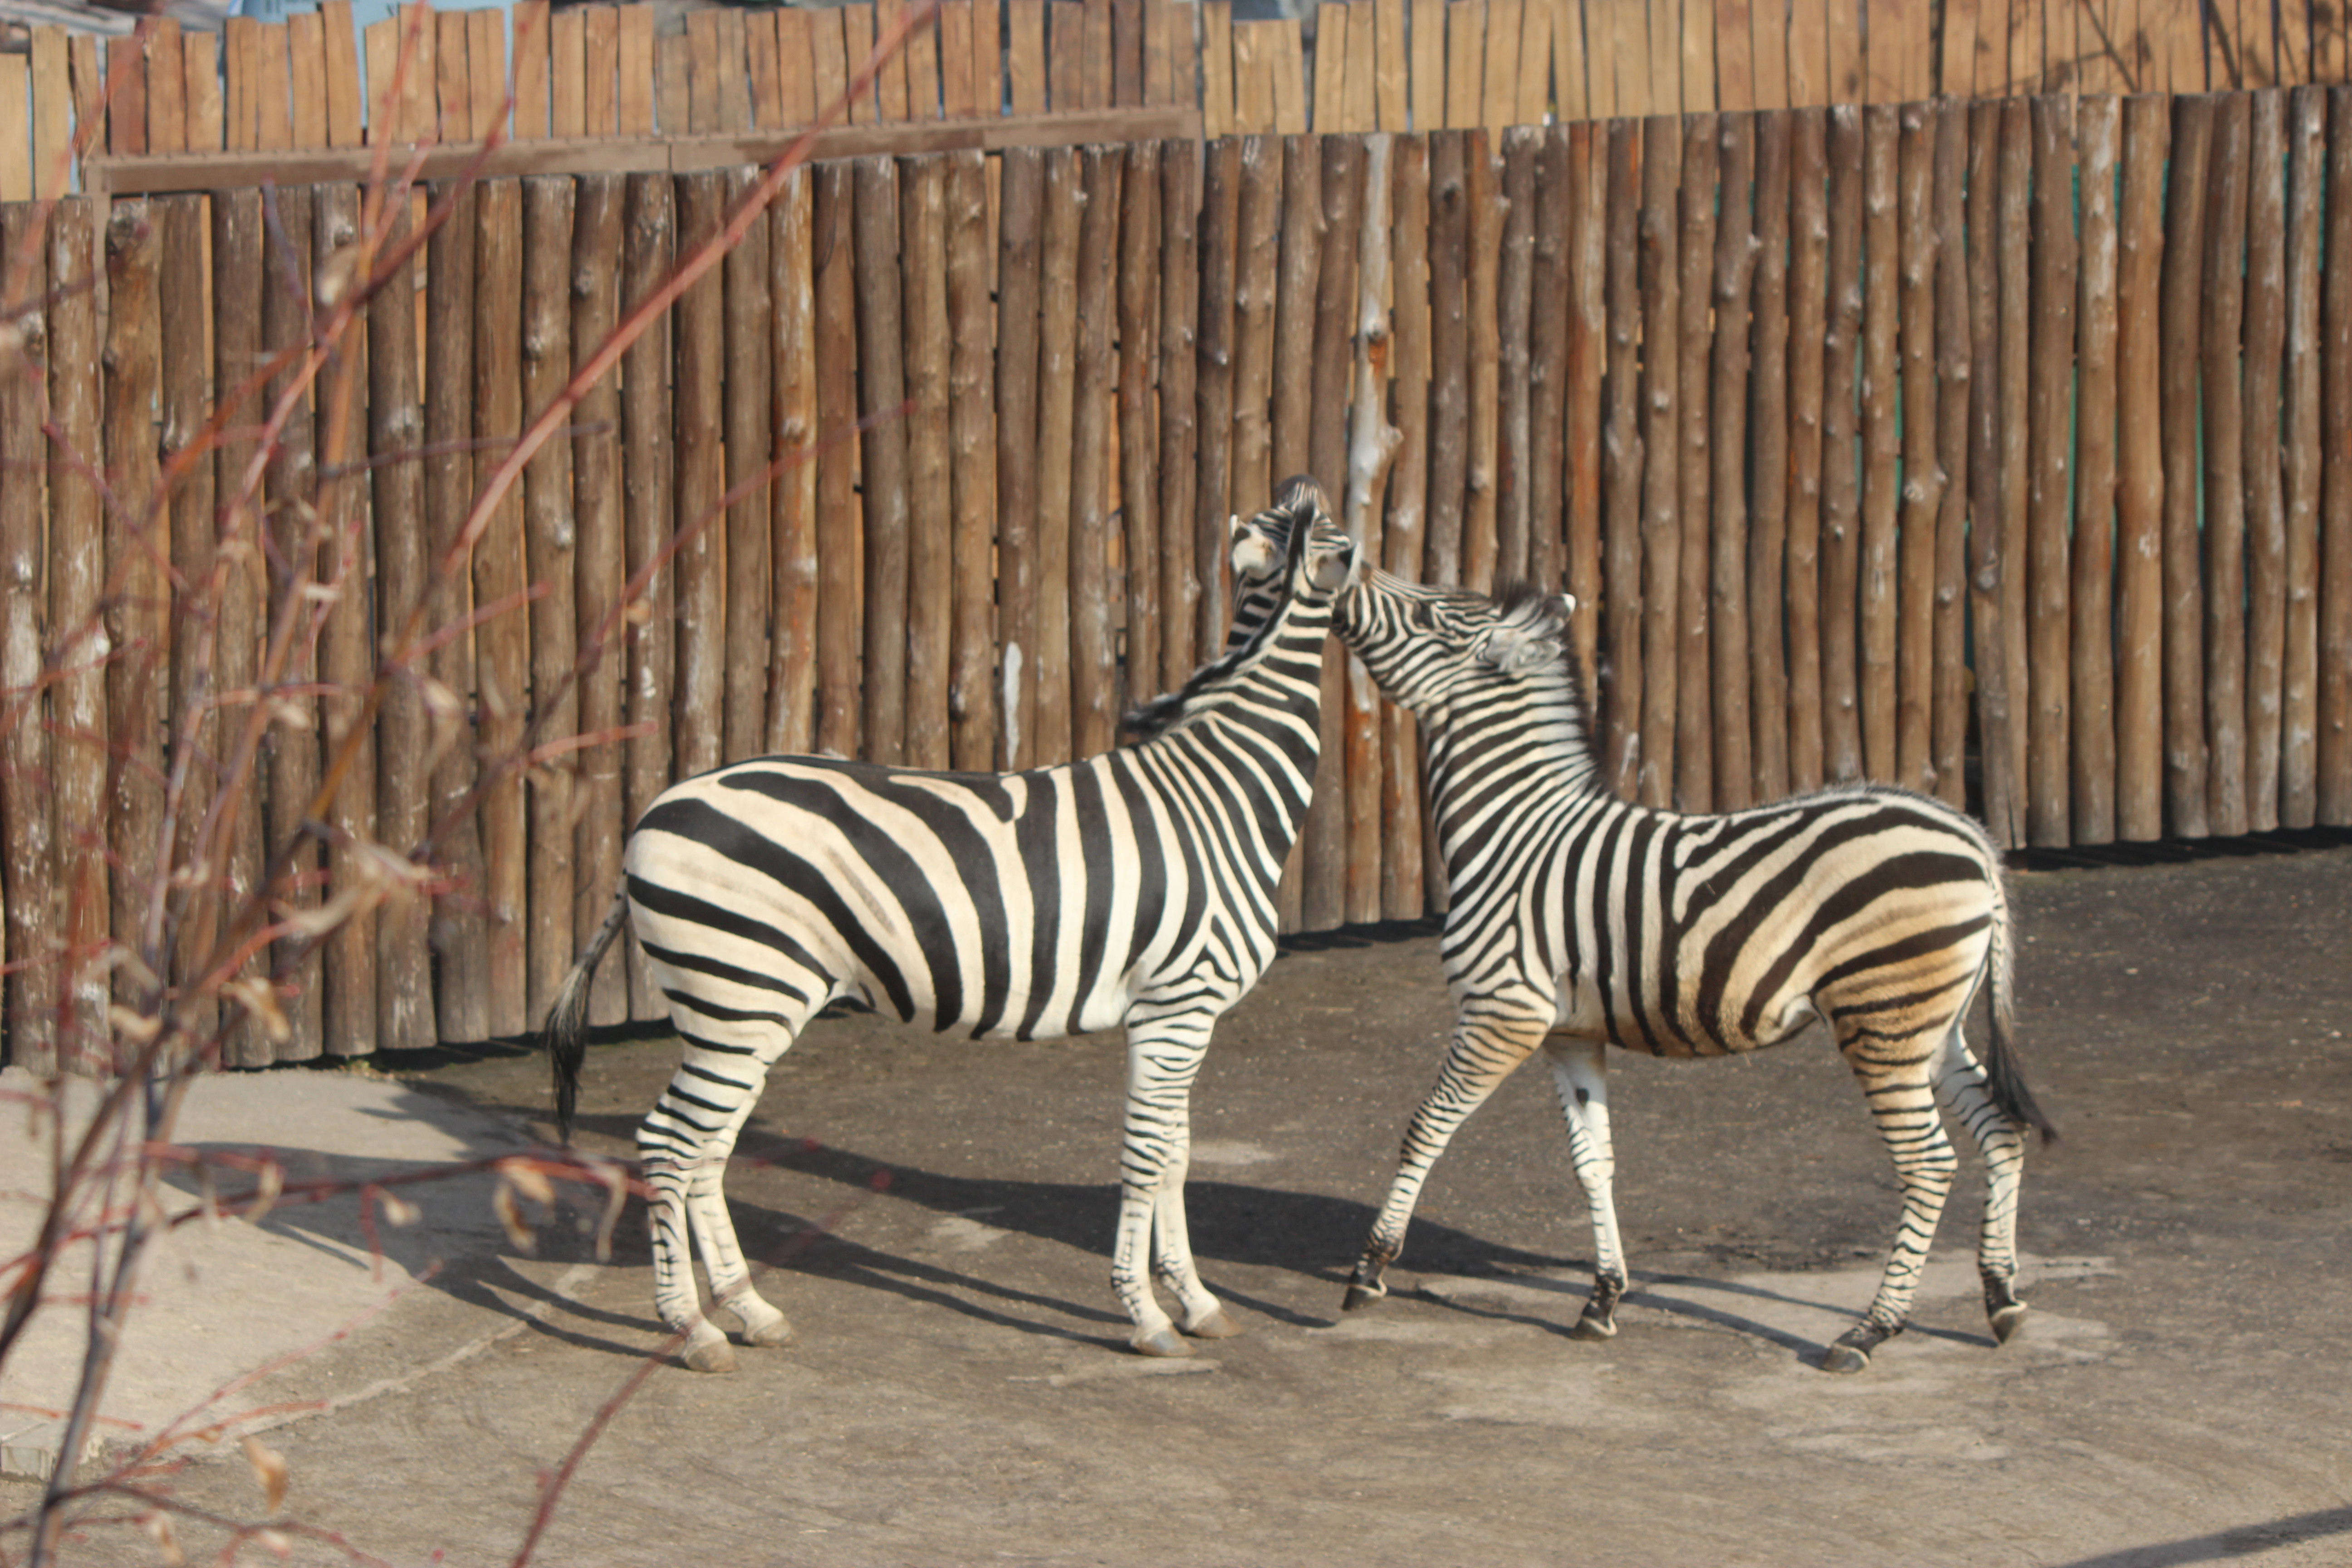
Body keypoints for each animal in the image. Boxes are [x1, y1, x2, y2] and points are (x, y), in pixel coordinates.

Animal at [541, 480, 1364, 1372]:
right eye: (1348, 540)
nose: (1304, 487)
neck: (1222, 787)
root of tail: (651, 814)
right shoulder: (1177, 1005)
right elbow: (1149, 1157)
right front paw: (1147, 1316)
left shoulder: (1181, 1016)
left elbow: (1177, 1156)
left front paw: (1198, 1302)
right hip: (739, 994)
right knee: (669, 1144)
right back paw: (692, 1329)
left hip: (739, 1011)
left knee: (704, 1151)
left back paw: (749, 1311)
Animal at [1308, 564, 2060, 1372]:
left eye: (1430, 617)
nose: (1346, 566)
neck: (1516, 831)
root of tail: (1972, 836)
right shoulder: (1570, 1033)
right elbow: (1593, 1160)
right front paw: (1603, 1300)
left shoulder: (1502, 1013)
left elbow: (1426, 1128)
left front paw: (1368, 1271)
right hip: (1929, 1023)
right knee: (2001, 1130)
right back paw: (2002, 1299)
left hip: (1882, 1021)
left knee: (1928, 1164)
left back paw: (1870, 1331)